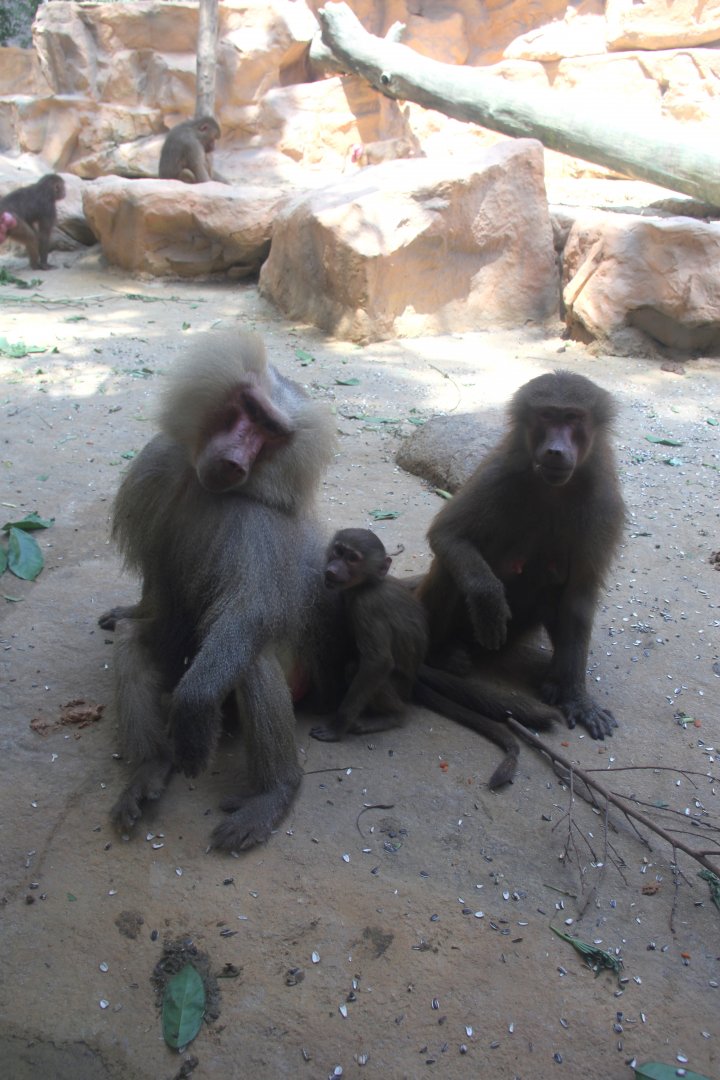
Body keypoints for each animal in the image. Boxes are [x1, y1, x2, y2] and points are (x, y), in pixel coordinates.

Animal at [99, 331, 337, 852]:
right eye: (248, 409)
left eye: (271, 432)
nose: (234, 461)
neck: (204, 487)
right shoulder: (158, 467)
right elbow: (157, 586)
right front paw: (128, 608)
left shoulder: (258, 526)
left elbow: (251, 612)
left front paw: (193, 709)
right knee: (135, 642)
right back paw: (149, 770)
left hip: (292, 673)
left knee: (251, 661)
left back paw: (273, 794)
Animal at [310, 528, 522, 788]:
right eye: (338, 551)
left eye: (352, 559)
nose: (332, 569)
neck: (368, 584)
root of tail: (411, 684)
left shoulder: (367, 607)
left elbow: (378, 663)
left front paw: (337, 728)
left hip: (399, 687)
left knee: (356, 669)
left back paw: (393, 716)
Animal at [418, 370, 626, 741]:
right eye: (546, 416)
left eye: (572, 418)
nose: (556, 450)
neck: (554, 489)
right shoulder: (499, 472)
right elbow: (448, 535)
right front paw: (489, 602)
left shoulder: (603, 504)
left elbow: (579, 595)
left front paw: (577, 697)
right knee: (449, 569)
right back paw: (442, 654)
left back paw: (556, 682)